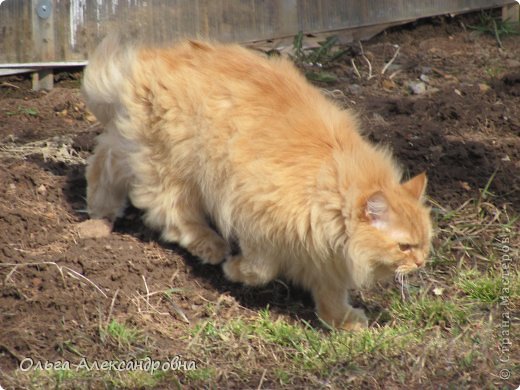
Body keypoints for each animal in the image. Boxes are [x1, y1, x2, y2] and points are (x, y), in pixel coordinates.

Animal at [82, 35, 430, 330]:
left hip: (142, 147)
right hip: (173, 164)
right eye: (404, 247)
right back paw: (209, 245)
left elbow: (330, 294)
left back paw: (99, 214)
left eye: (425, 244)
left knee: (105, 157)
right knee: (169, 214)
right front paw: (234, 270)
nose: (421, 262)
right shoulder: (255, 214)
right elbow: (262, 268)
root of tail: (150, 58)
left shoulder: (325, 256)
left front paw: (342, 321)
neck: (329, 187)